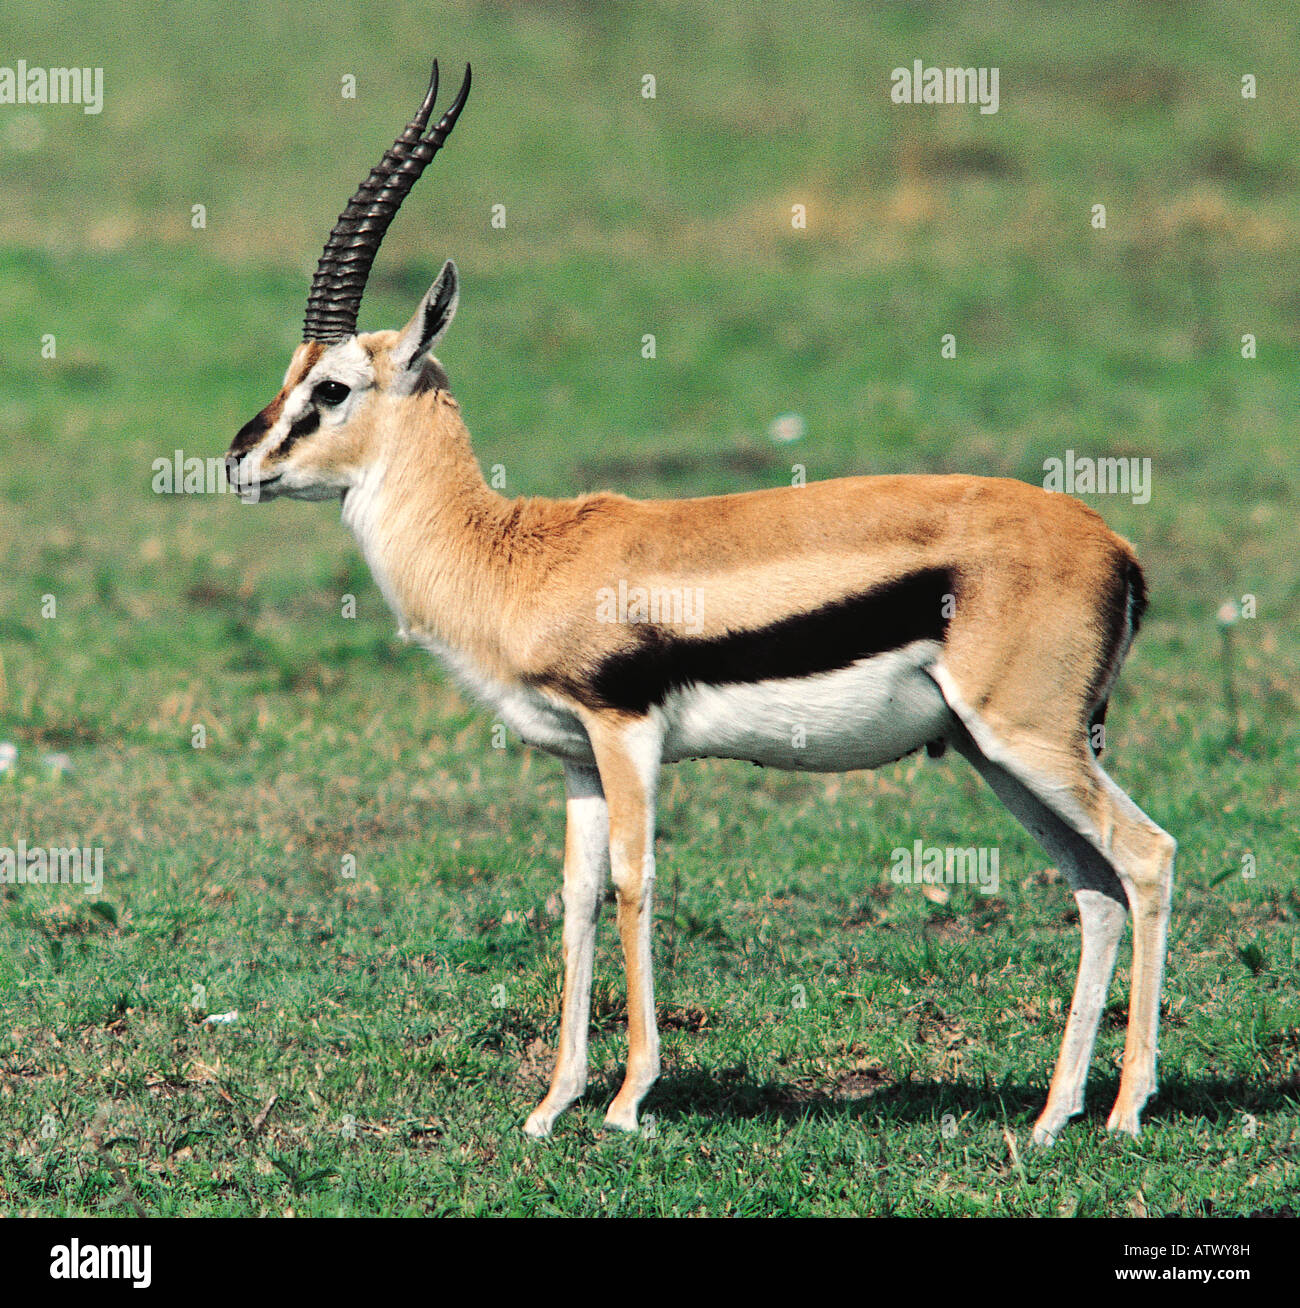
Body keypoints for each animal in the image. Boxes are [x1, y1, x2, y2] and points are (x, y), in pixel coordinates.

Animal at [225, 61, 1176, 1145]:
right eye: (292, 376)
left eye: (333, 389)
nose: (240, 461)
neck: (512, 552)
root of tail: (1116, 548)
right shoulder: (577, 760)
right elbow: (576, 899)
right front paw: (552, 1105)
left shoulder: (627, 733)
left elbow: (636, 885)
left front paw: (628, 1101)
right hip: (995, 752)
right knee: (1094, 887)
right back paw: (1055, 1115)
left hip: (1029, 739)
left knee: (1146, 858)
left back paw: (1125, 1111)